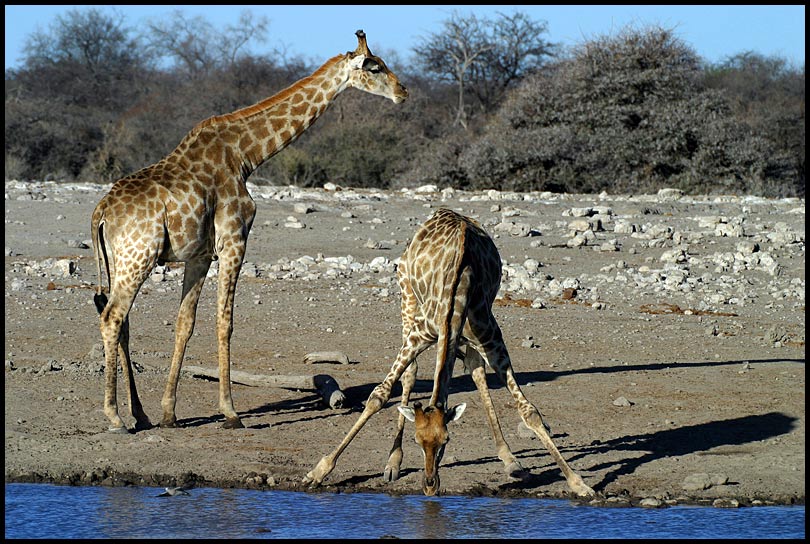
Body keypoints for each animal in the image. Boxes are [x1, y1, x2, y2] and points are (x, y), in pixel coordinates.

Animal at [91, 31, 408, 436]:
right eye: (374, 66)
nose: (403, 91)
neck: (246, 155)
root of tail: (101, 212)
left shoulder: (200, 254)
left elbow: (185, 323)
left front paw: (169, 413)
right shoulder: (234, 240)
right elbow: (225, 322)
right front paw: (230, 412)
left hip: (120, 260)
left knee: (122, 320)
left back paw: (140, 415)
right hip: (139, 256)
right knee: (112, 316)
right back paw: (115, 416)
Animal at [304, 208, 592, 498]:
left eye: (446, 440)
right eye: (417, 440)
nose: (430, 485)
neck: (456, 295)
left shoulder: (492, 340)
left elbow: (529, 411)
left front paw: (578, 483)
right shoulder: (419, 335)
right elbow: (378, 396)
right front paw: (317, 472)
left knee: (476, 370)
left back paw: (510, 459)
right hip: (407, 299)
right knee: (411, 372)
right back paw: (393, 462)